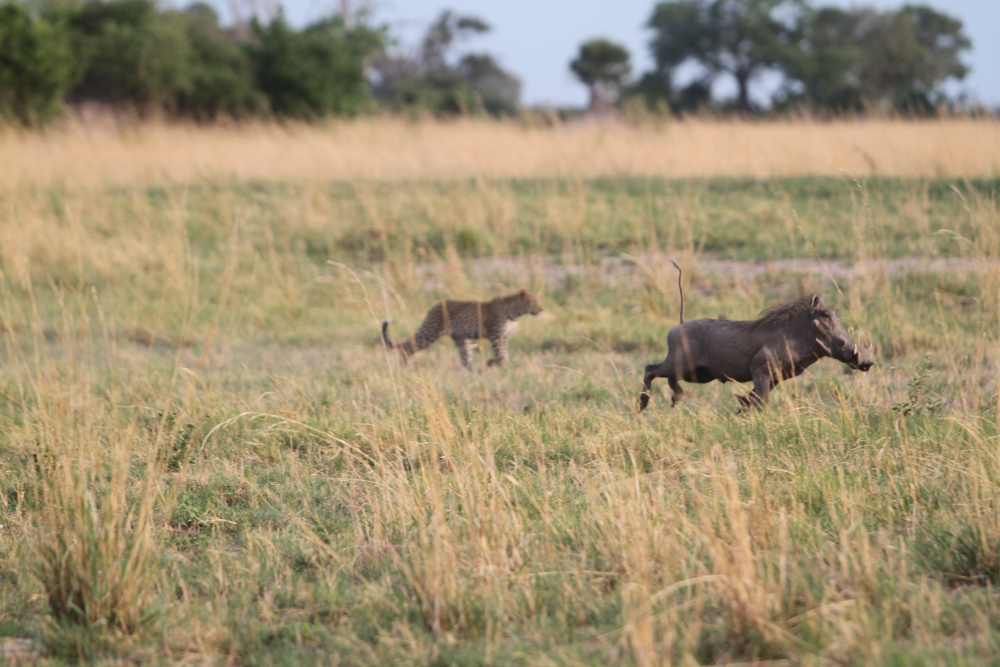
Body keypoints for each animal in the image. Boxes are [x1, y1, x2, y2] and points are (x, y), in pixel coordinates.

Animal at [380, 288, 540, 370]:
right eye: (532, 302)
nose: (541, 309)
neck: (515, 314)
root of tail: (434, 306)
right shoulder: (496, 336)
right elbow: (501, 354)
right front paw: (498, 364)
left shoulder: (504, 337)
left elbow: (505, 354)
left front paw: (503, 366)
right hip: (431, 332)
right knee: (407, 346)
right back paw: (404, 368)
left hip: (460, 337)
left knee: (465, 359)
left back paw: (474, 372)